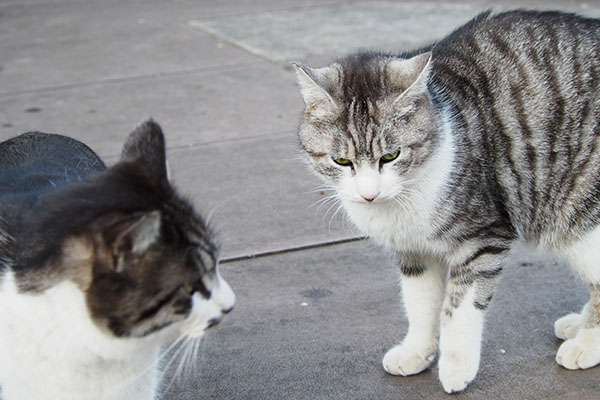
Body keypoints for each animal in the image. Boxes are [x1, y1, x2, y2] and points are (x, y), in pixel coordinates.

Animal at [292, 9, 600, 394]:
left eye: (391, 155)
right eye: (341, 161)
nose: (369, 193)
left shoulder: (483, 237)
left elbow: (458, 308)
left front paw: (456, 367)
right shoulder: (414, 253)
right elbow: (420, 304)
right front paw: (417, 352)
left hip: (579, 218)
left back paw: (586, 343)